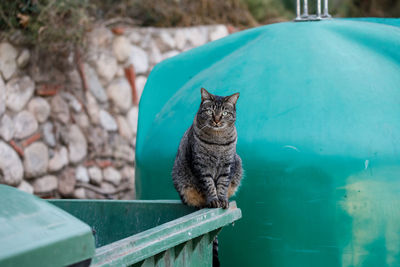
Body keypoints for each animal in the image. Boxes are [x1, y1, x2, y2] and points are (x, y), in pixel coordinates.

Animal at [171, 88, 242, 267]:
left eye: (224, 113)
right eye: (210, 111)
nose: (216, 120)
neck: (217, 140)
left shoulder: (227, 166)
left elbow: (222, 186)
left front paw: (222, 200)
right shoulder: (201, 167)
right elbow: (209, 186)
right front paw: (214, 200)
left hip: (238, 164)